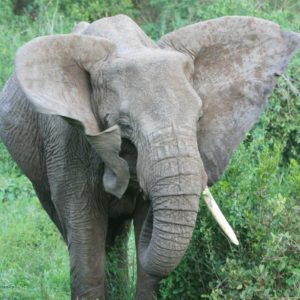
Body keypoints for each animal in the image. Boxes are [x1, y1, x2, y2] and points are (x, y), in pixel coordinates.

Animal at [0, 14, 300, 300]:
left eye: (199, 118)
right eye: (123, 125)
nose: (130, 175)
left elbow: (147, 263)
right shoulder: (67, 140)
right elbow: (85, 242)